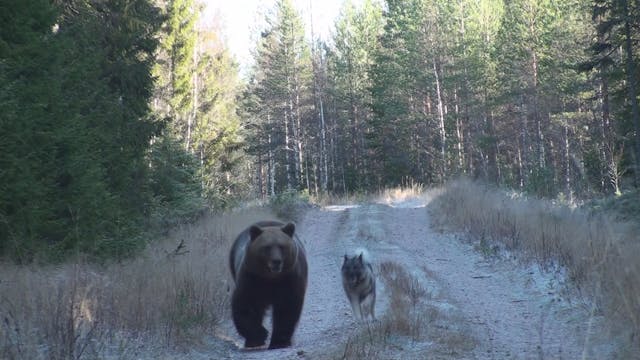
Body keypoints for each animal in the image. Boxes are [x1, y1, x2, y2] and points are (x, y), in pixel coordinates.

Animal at [229, 219, 308, 348]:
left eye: (282, 246)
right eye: (267, 247)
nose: (276, 261)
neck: (271, 278)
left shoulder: (290, 279)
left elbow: (287, 309)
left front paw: (280, 341)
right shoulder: (251, 278)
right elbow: (245, 305)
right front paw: (258, 336)